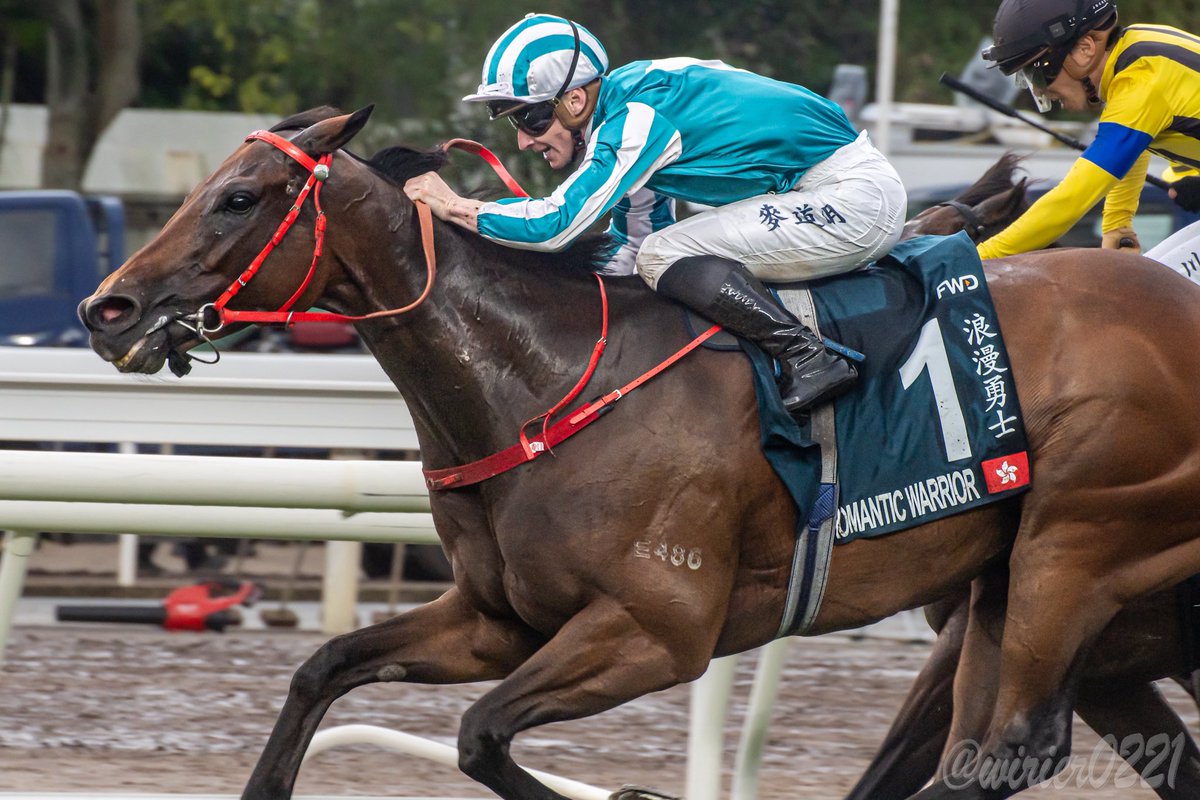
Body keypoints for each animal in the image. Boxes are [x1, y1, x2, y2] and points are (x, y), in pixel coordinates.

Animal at [82, 107, 1200, 800]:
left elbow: (482, 732)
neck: (540, 383)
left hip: (1076, 545)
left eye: (240, 198)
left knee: (1012, 746)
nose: (109, 308)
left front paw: (635, 788)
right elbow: (325, 669)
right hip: (1004, 583)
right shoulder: (497, 619)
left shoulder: (657, 630)